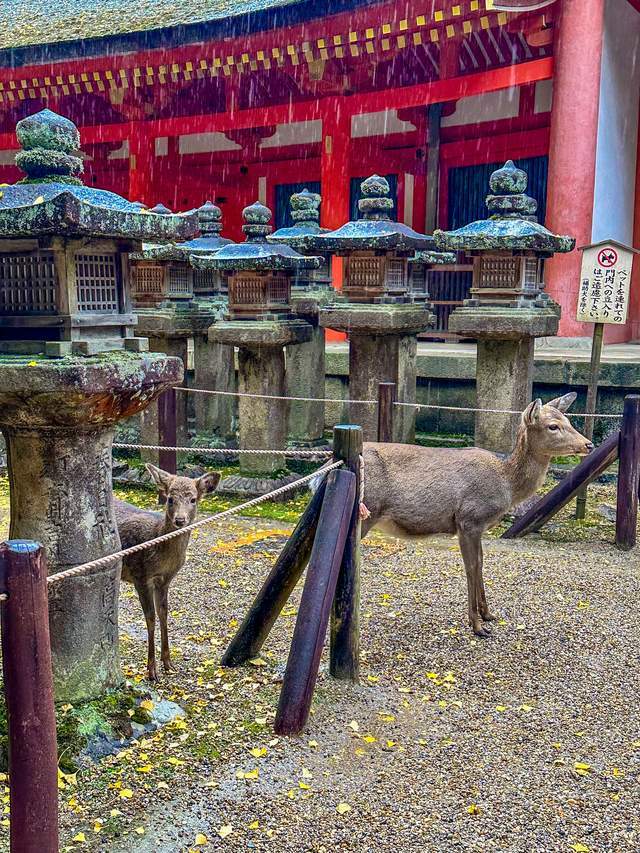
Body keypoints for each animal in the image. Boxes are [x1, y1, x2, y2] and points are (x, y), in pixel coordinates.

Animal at [111, 462, 219, 684]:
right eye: (170, 498)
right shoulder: (140, 576)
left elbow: (164, 613)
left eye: (193, 499)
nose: (180, 519)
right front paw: (152, 671)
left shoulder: (166, 580)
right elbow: (150, 617)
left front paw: (168, 663)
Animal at [362, 392, 592, 632]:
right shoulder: (469, 519)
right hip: (368, 510)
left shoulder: (480, 526)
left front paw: (488, 614)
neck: (507, 483)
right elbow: (471, 566)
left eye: (568, 420)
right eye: (553, 426)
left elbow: (481, 562)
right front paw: (477, 625)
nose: (589, 444)